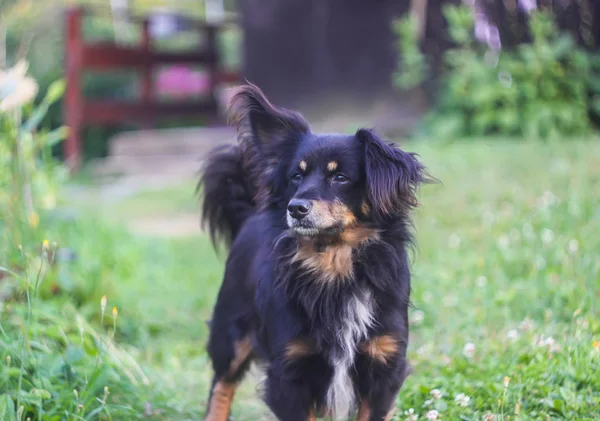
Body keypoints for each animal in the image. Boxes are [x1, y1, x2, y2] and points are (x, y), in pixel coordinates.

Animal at [198, 83, 432, 420]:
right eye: (296, 176)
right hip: (232, 330)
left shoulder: (383, 365)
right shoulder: (289, 371)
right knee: (222, 383)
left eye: (341, 177)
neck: (334, 264)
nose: (295, 208)